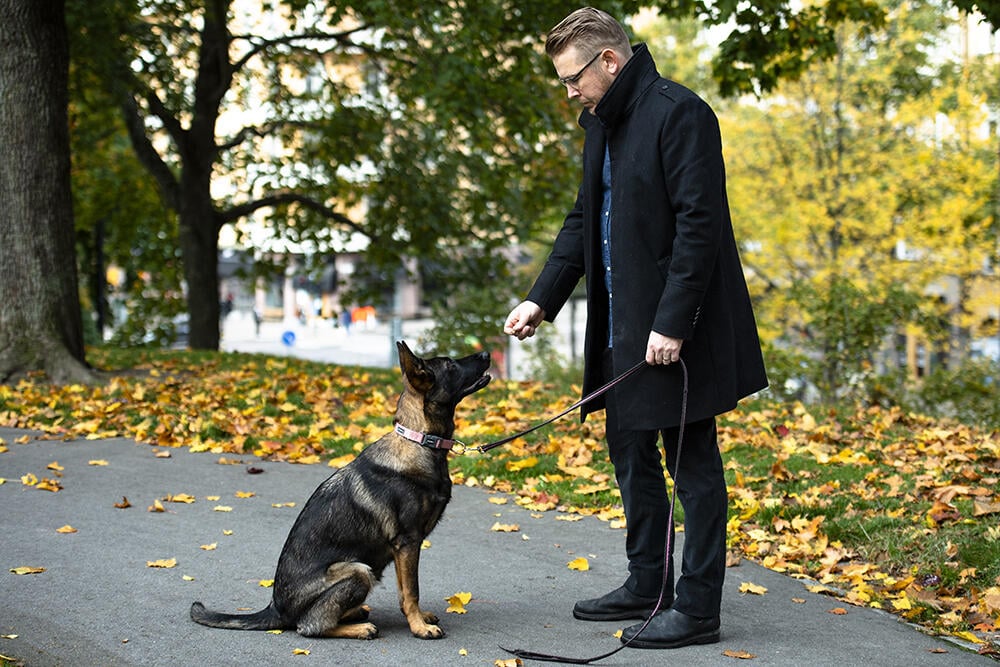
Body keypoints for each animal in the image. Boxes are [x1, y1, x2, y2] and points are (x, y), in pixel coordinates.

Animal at [189, 342, 490, 640]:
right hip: (359, 571)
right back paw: (359, 628)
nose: (487, 353)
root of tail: (276, 609)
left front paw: (418, 618)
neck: (419, 441)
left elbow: (404, 591)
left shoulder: (402, 550)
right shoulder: (407, 542)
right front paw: (419, 627)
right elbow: (411, 591)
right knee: (309, 627)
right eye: (450, 364)